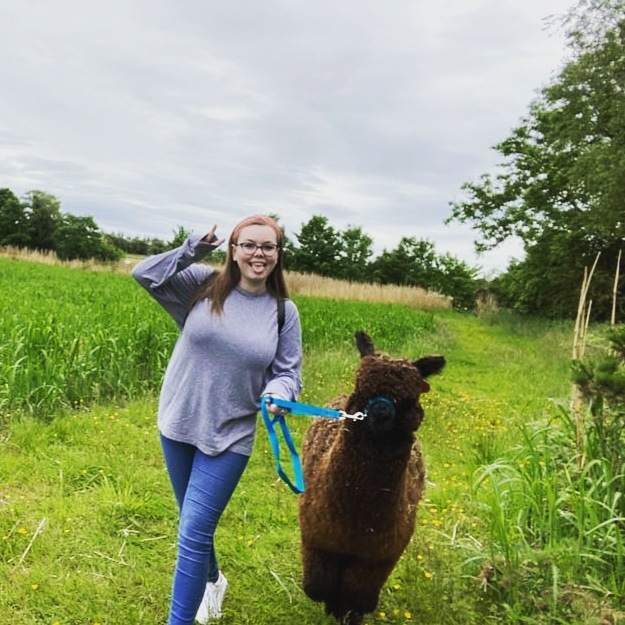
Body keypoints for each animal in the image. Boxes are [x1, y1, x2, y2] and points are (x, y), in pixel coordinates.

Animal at [298, 331, 446, 625]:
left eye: (408, 400)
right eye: (363, 389)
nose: (380, 414)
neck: (357, 524)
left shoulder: (381, 554)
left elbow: (358, 595)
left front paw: (346, 614)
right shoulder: (316, 536)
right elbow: (317, 585)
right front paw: (332, 608)